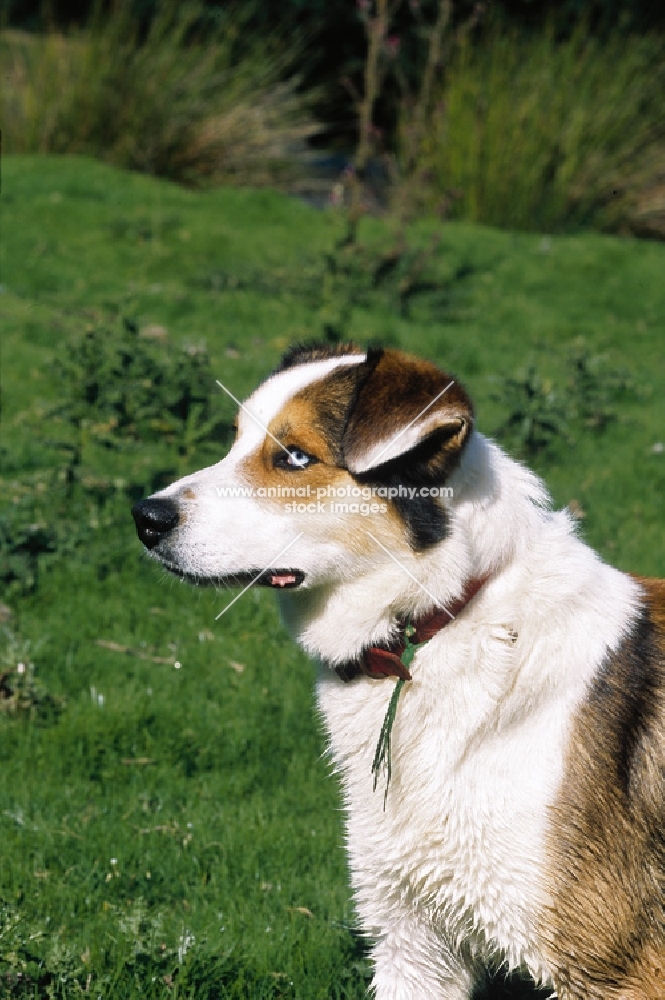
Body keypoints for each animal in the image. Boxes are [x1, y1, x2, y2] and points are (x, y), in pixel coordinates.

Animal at [132, 346, 660, 1000]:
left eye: (294, 457)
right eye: (234, 442)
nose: (144, 516)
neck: (439, 621)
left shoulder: (617, 968)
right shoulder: (413, 943)